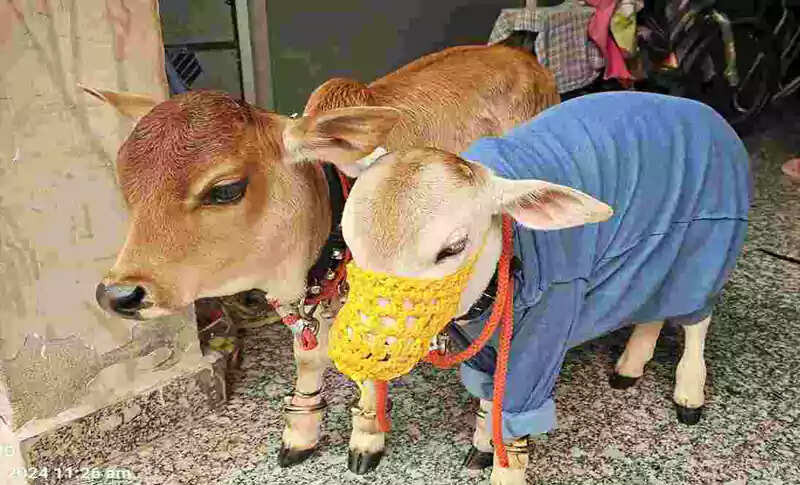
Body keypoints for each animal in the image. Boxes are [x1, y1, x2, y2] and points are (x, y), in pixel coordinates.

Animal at [82, 44, 560, 474]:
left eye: (225, 189)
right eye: (126, 184)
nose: (119, 294)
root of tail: (520, 53)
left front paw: (366, 438)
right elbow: (308, 358)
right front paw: (300, 435)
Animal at [325, 92, 751, 484]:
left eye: (453, 247)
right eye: (348, 241)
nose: (364, 349)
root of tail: (704, 110)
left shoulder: (544, 332)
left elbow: (515, 416)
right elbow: (489, 393)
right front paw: (482, 441)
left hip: (708, 242)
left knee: (696, 319)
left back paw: (689, 393)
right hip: (655, 253)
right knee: (654, 306)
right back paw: (630, 366)